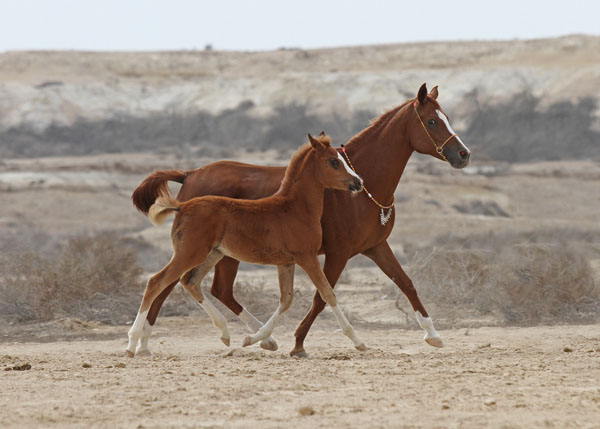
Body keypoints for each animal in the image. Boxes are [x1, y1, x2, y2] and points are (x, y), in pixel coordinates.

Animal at [125, 133, 364, 354]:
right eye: (333, 162)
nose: (358, 183)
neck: (294, 208)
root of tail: (182, 206)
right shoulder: (307, 256)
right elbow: (327, 293)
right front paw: (358, 341)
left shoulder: (286, 262)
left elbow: (286, 300)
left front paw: (255, 339)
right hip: (190, 253)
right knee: (156, 282)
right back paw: (132, 343)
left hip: (213, 254)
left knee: (190, 281)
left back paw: (224, 333)